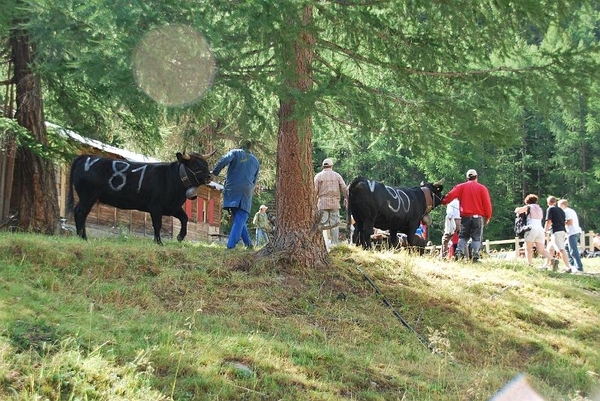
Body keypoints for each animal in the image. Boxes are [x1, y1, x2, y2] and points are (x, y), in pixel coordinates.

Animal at [68, 150, 213, 244]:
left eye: (206, 164)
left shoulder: (173, 207)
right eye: (195, 165)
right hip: (88, 195)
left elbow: (184, 218)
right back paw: (83, 237)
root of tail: (86, 157)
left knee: (79, 212)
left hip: (87, 197)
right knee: (81, 212)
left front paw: (180, 237)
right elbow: (157, 225)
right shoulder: (155, 206)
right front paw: (158, 242)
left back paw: (81, 236)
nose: (210, 176)